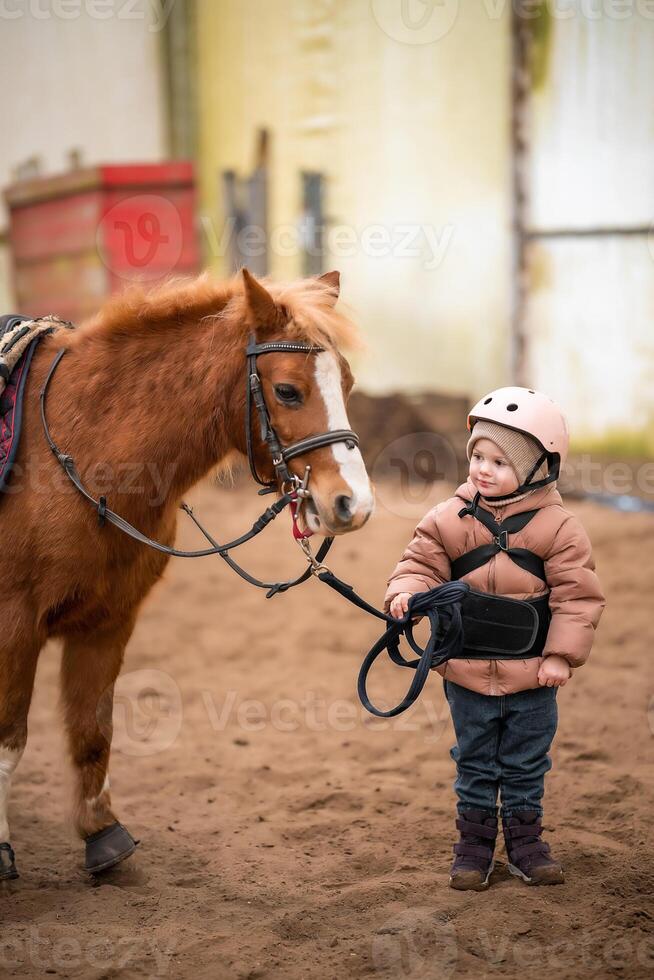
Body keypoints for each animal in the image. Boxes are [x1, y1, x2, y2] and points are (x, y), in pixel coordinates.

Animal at [0, 270, 374, 880]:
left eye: (346, 383)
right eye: (287, 391)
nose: (354, 504)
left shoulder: (109, 622)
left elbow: (92, 730)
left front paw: (102, 833)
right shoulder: (15, 625)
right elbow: (10, 739)